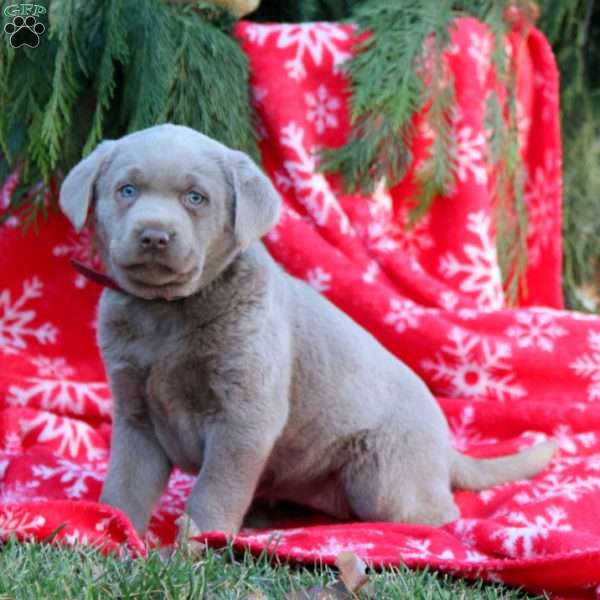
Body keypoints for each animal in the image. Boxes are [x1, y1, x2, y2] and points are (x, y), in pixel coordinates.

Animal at [58, 124, 556, 536]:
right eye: (126, 190)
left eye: (195, 198)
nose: (154, 235)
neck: (166, 312)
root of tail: (445, 445)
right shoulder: (135, 412)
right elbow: (126, 483)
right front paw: (114, 531)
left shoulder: (245, 413)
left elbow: (216, 485)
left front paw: (195, 542)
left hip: (383, 479)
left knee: (433, 512)